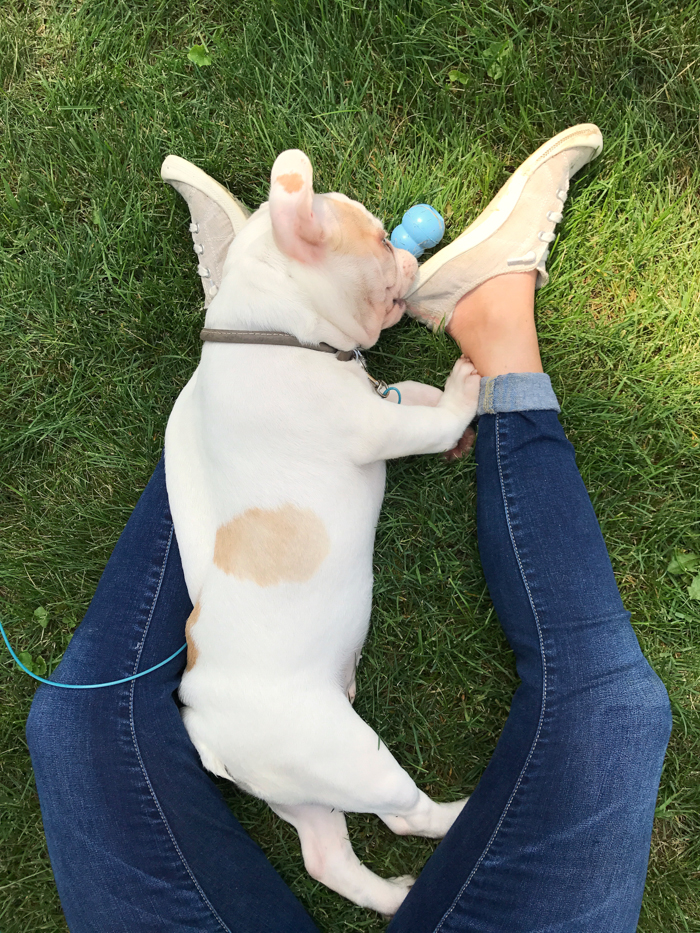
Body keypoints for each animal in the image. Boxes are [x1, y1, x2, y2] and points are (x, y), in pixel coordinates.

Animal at [165, 149, 482, 912]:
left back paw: (391, 896)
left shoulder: (377, 400)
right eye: (378, 238)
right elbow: (429, 418)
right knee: (405, 815)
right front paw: (463, 392)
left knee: (326, 858)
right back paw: (465, 813)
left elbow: (410, 396)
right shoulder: (375, 429)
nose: (407, 249)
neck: (273, 328)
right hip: (346, 753)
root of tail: (209, 734)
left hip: (300, 790)